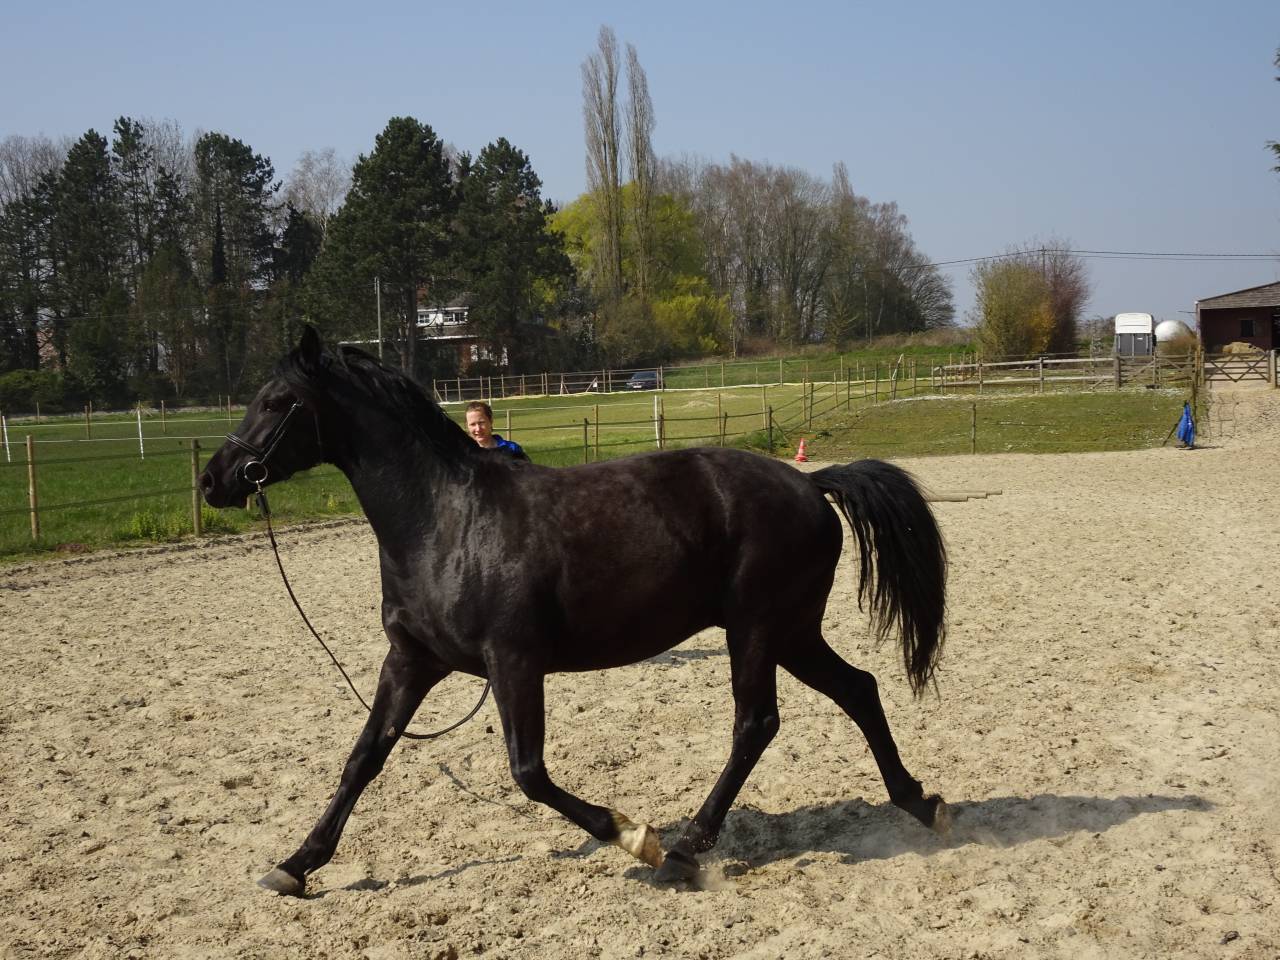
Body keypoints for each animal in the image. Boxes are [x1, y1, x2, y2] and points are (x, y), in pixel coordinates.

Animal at [199, 326, 950, 896]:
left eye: (277, 401)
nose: (213, 481)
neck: (446, 521)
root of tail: (810, 484)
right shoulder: (412, 661)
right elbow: (362, 760)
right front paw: (295, 866)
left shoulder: (514, 662)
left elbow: (529, 773)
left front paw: (635, 837)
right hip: (792, 632)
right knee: (859, 690)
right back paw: (919, 801)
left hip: (758, 631)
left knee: (756, 724)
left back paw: (686, 848)